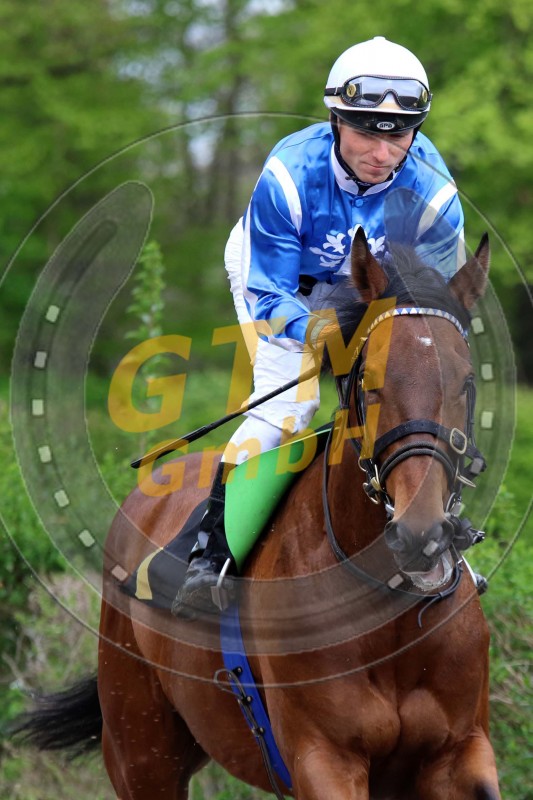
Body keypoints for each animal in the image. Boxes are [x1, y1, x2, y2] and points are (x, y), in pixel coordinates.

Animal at [15, 229, 501, 800]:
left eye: (466, 382)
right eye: (370, 381)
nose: (420, 532)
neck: (390, 614)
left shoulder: (461, 751)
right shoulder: (323, 758)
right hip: (140, 750)